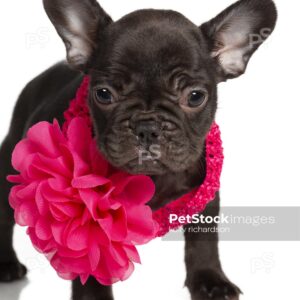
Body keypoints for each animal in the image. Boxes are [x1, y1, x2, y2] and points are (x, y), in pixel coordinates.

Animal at [0, 0, 276, 300]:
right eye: (104, 94)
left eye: (195, 96)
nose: (147, 126)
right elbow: (92, 258)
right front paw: (93, 296)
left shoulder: (205, 195)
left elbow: (203, 241)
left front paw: (210, 281)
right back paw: (7, 264)